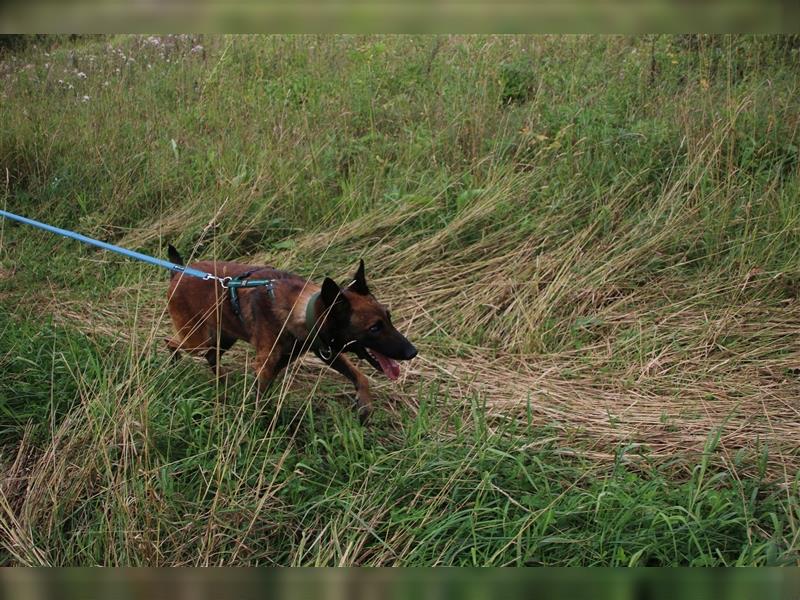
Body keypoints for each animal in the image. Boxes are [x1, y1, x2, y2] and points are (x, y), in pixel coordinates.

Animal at [166, 244, 422, 422]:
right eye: (374, 328)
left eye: (388, 317)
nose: (413, 352)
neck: (302, 310)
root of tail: (178, 272)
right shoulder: (266, 365)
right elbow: (259, 401)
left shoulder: (326, 351)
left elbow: (361, 377)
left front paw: (366, 406)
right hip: (197, 338)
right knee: (171, 343)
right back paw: (172, 367)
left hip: (223, 337)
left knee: (210, 356)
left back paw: (222, 384)